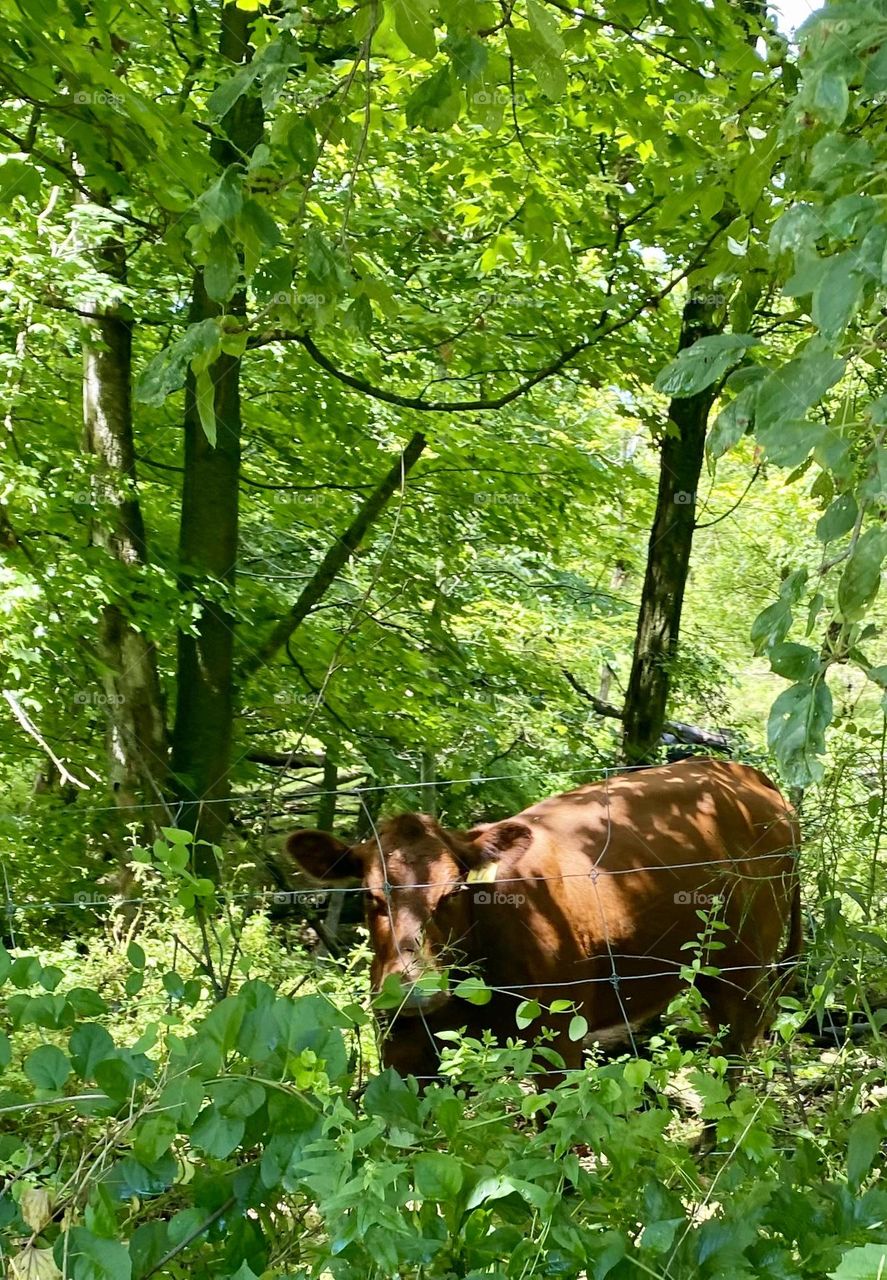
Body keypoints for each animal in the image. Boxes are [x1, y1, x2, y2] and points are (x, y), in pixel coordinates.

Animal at [286, 759, 802, 1082]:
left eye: (454, 891)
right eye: (370, 895)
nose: (414, 990)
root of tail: (742, 771)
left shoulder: (557, 1041)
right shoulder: (402, 1052)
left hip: (744, 965)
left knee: (737, 1047)